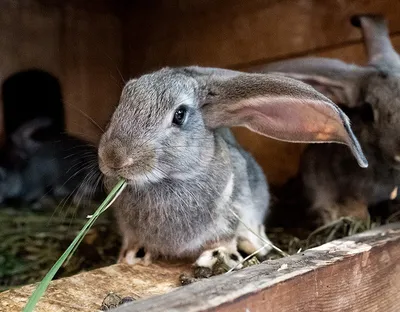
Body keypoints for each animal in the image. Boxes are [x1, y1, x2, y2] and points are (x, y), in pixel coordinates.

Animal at [97, 64, 366, 272]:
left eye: (180, 115)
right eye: (121, 102)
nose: (113, 159)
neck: (169, 180)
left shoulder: (231, 215)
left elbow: (223, 240)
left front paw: (216, 257)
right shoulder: (128, 228)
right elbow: (133, 241)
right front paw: (130, 257)